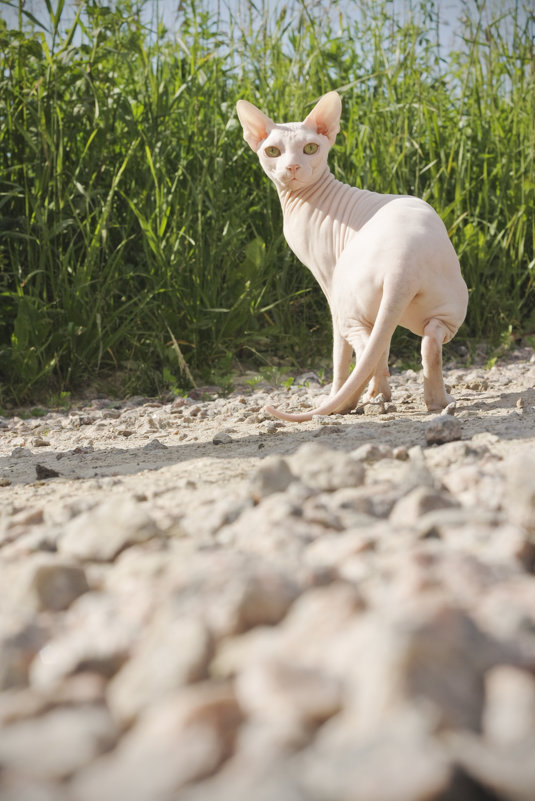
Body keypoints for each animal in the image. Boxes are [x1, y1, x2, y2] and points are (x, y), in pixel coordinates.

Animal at [237, 90, 466, 422]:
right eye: (273, 151)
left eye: (310, 148)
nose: (292, 167)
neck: (305, 199)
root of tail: (403, 264)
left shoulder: (328, 279)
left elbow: (339, 353)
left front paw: (336, 394)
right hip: (447, 306)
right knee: (425, 342)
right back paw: (431, 401)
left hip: (351, 302)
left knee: (366, 345)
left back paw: (356, 399)